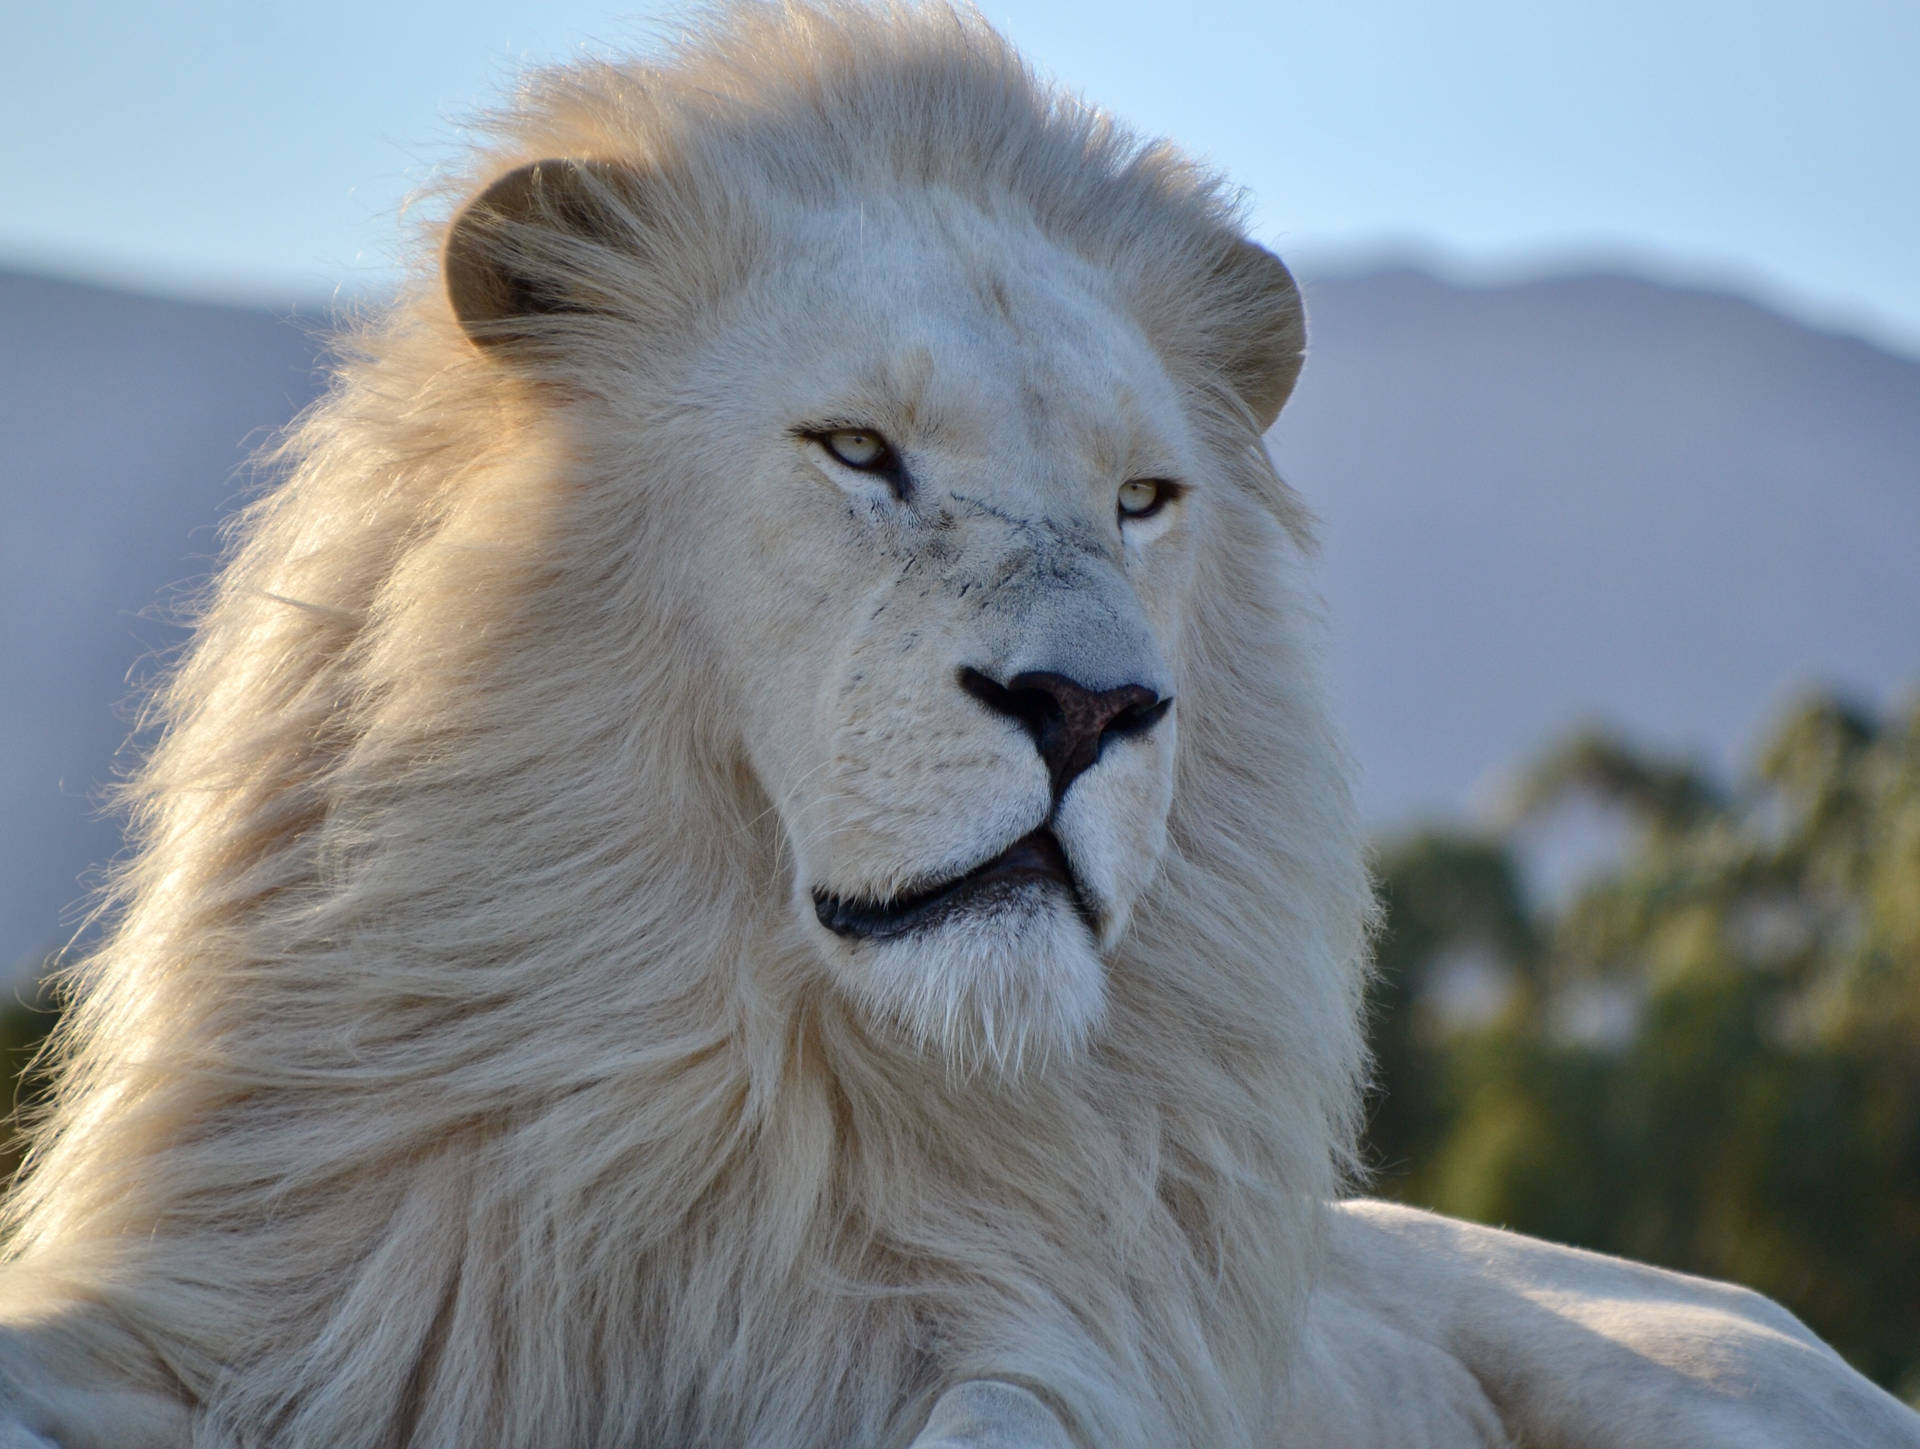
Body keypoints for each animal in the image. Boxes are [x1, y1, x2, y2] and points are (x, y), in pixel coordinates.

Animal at [3, 8, 1920, 1449]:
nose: (1090, 704)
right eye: (858, 449)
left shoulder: (1066, 1348)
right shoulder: (244, 1304)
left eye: (1143, 498)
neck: (737, 1100)